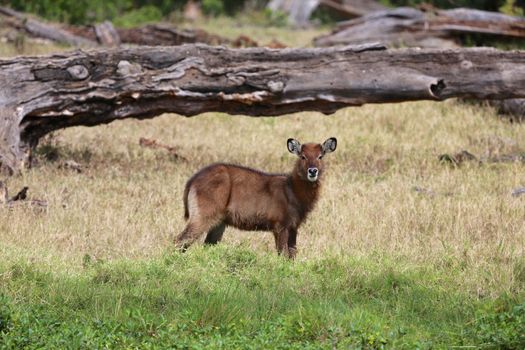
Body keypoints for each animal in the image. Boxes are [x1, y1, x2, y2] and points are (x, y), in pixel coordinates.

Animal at [174, 138, 338, 258]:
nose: (313, 171)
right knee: (180, 240)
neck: (292, 190)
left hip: (219, 222)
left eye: (320, 156)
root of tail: (192, 180)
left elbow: (292, 255)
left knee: (206, 245)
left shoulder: (293, 227)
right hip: (203, 216)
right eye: (302, 156)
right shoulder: (280, 226)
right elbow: (283, 254)